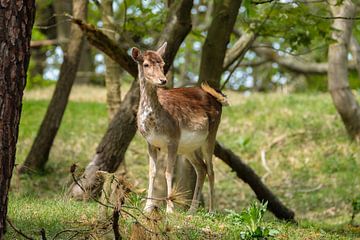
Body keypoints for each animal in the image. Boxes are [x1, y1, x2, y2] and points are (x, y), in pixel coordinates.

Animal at [131, 42, 228, 213]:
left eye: (163, 64)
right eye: (146, 64)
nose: (163, 80)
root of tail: (217, 97)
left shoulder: (173, 138)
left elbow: (168, 172)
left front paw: (170, 209)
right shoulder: (150, 142)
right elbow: (152, 172)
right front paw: (147, 207)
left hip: (211, 135)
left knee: (211, 169)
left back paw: (211, 210)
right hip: (189, 148)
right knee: (201, 168)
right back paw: (191, 210)